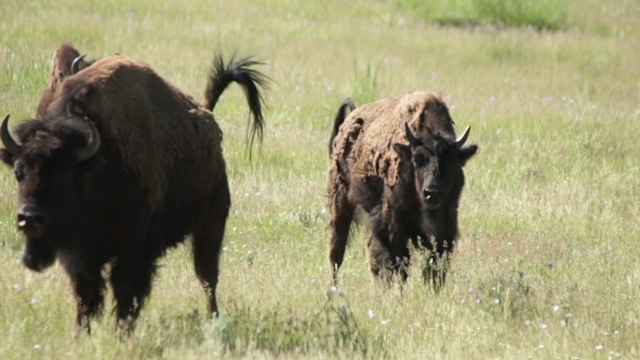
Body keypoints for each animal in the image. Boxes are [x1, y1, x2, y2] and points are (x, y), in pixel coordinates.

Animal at [0, 45, 268, 334]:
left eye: (65, 174)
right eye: (19, 172)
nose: (30, 219)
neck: (95, 161)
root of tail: (208, 116)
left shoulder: (134, 245)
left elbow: (126, 289)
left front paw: (122, 332)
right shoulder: (78, 252)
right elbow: (86, 293)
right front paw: (81, 333)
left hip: (211, 224)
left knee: (207, 276)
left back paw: (213, 320)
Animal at [328, 92, 478, 290]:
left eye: (453, 161)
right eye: (417, 159)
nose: (432, 193)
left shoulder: (445, 226)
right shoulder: (394, 224)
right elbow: (397, 261)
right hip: (340, 203)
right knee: (337, 252)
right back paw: (334, 289)